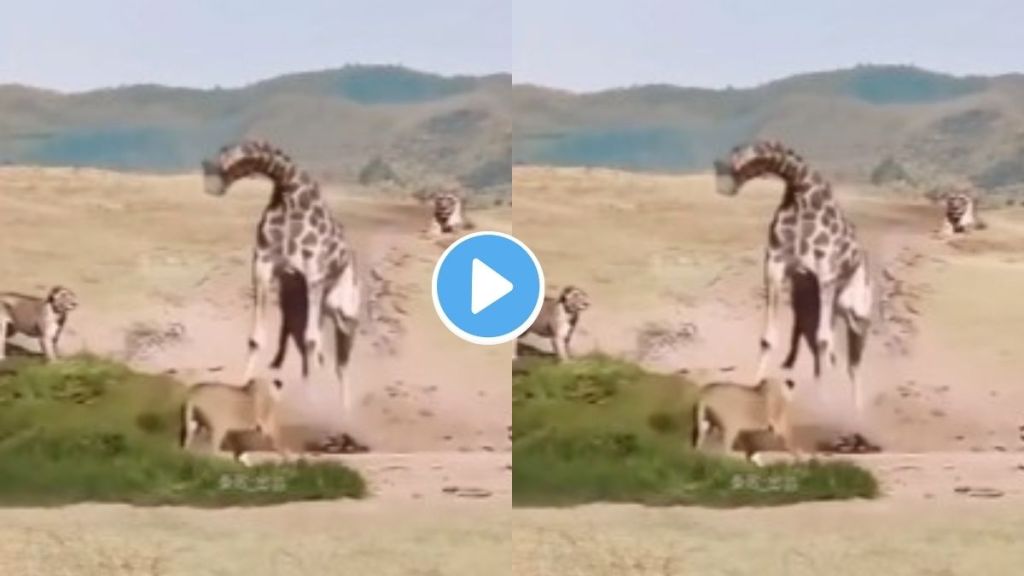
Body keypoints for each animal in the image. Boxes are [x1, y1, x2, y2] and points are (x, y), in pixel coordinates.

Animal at [201, 140, 361, 410]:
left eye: (225, 159)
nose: (211, 187)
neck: (288, 194)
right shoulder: (263, 265)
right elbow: (257, 338)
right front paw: (242, 384)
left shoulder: (314, 272)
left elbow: (310, 341)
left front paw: (311, 403)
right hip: (316, 305)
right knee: (320, 349)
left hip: (346, 310)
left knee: (342, 360)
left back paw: (345, 410)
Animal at [713, 140, 873, 410]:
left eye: (735, 160)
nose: (722, 187)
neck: (800, 193)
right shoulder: (775, 265)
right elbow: (768, 338)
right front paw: (755, 384)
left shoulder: (826, 272)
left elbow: (822, 341)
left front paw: (823, 402)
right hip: (826, 305)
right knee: (832, 348)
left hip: (858, 311)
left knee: (854, 361)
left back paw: (857, 410)